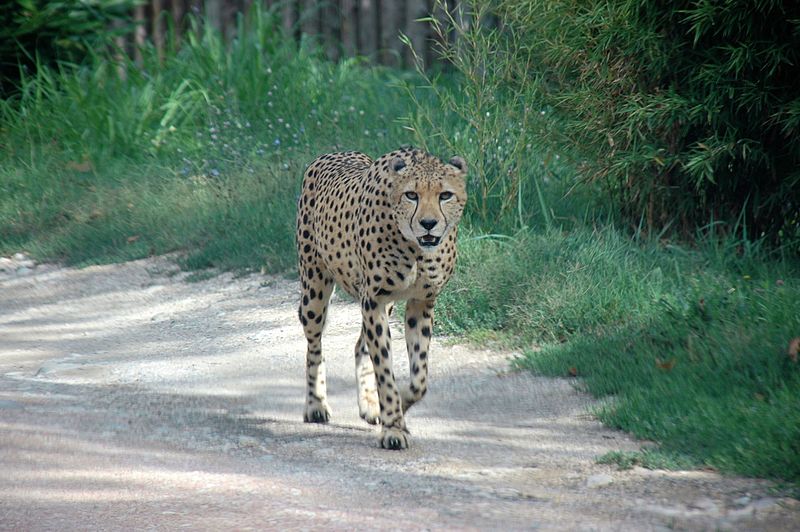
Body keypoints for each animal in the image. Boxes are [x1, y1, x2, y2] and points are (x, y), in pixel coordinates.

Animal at [296, 145, 466, 448]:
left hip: (382, 305)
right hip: (314, 290)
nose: (429, 224)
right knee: (315, 346)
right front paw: (394, 427)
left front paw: (397, 407)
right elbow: (385, 370)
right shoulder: (373, 300)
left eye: (445, 195)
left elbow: (419, 379)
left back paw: (369, 404)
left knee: (359, 346)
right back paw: (316, 405)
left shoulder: (419, 303)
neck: (415, 249)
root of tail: (334, 153)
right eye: (412, 195)